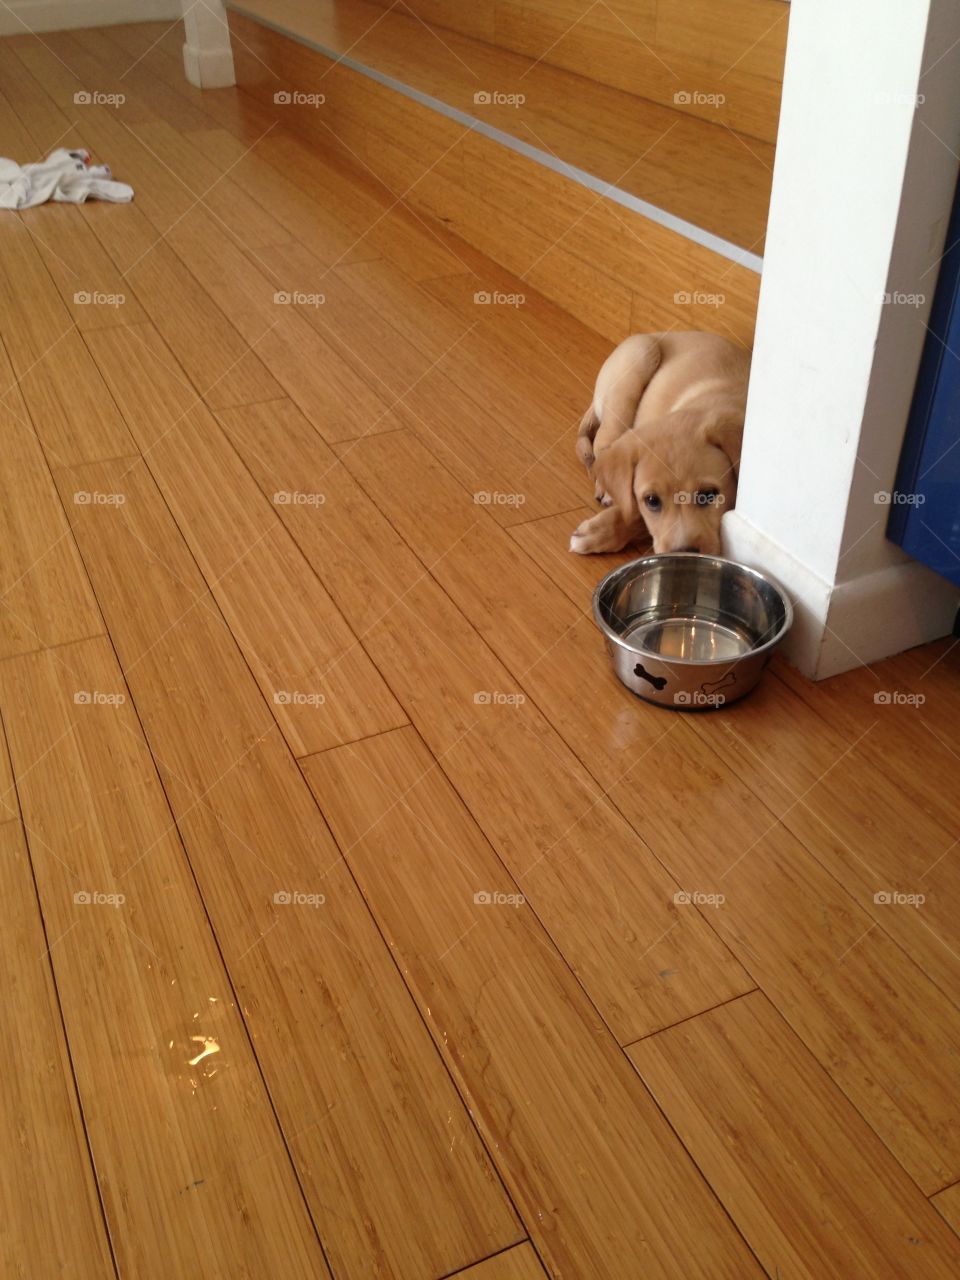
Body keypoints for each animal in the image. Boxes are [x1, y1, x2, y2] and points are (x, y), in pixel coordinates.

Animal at [570, 330, 752, 555]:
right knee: (603, 444)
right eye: (652, 501)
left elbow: (638, 518)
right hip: (638, 359)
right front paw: (599, 532)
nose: (684, 552)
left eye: (708, 495)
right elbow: (634, 512)